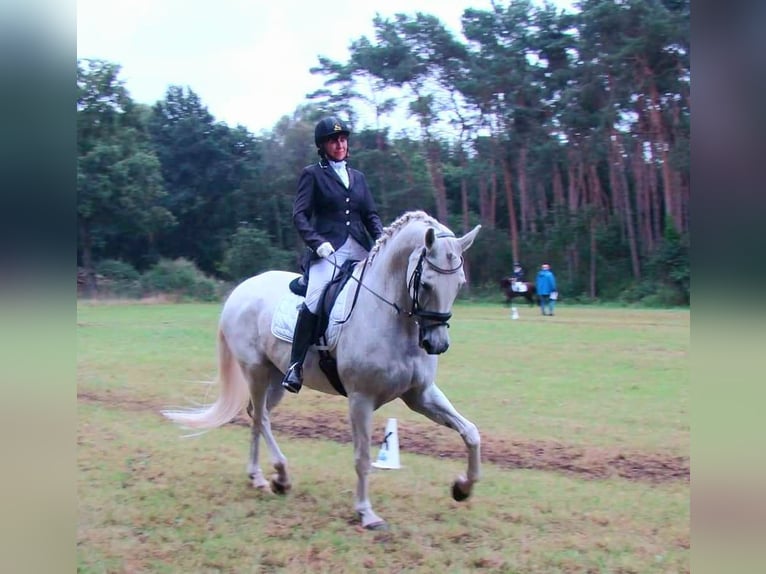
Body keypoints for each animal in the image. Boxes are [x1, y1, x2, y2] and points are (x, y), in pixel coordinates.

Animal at [164, 212, 484, 532]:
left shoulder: (421, 395)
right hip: (255, 371)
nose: (437, 344)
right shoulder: (360, 399)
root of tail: (241, 290)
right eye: (426, 284)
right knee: (261, 417)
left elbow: (471, 432)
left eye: (459, 283)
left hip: (276, 379)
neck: (391, 317)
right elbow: (362, 456)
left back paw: (262, 478)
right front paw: (366, 513)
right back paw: (279, 476)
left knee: (256, 414)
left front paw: (462, 487)